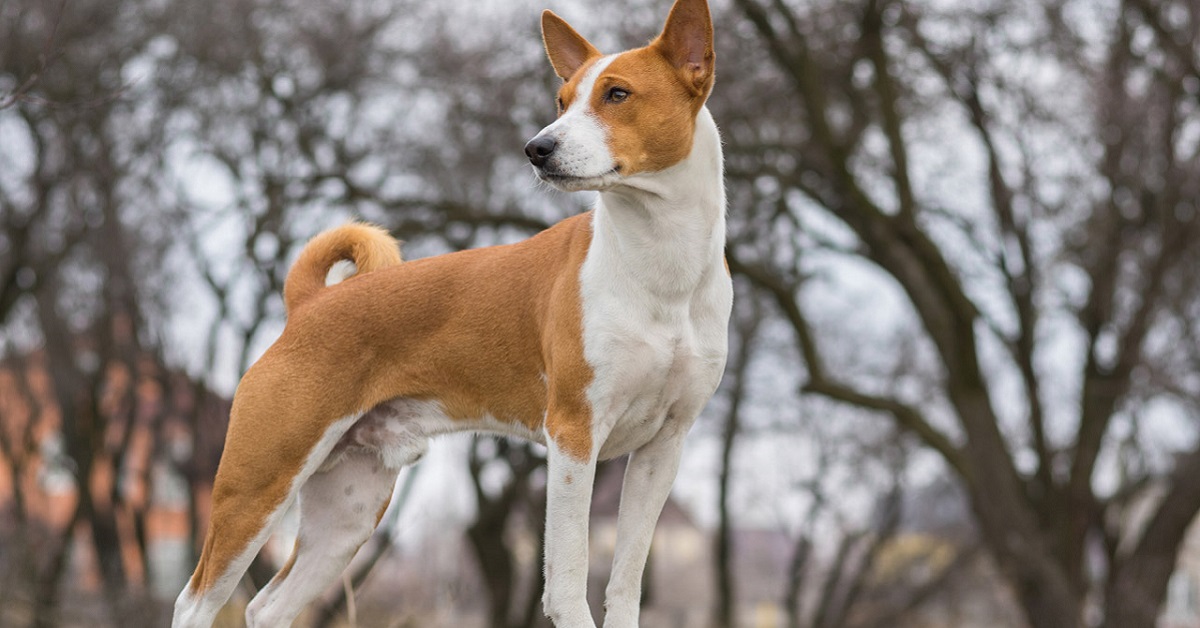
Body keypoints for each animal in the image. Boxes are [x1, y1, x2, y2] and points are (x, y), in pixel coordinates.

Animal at [172, 0, 724, 624]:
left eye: (618, 94)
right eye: (561, 101)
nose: (537, 148)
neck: (662, 270)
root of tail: (310, 302)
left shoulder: (663, 448)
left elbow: (625, 584)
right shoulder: (574, 435)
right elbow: (567, 580)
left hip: (348, 510)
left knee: (268, 607)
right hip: (258, 484)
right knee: (195, 601)